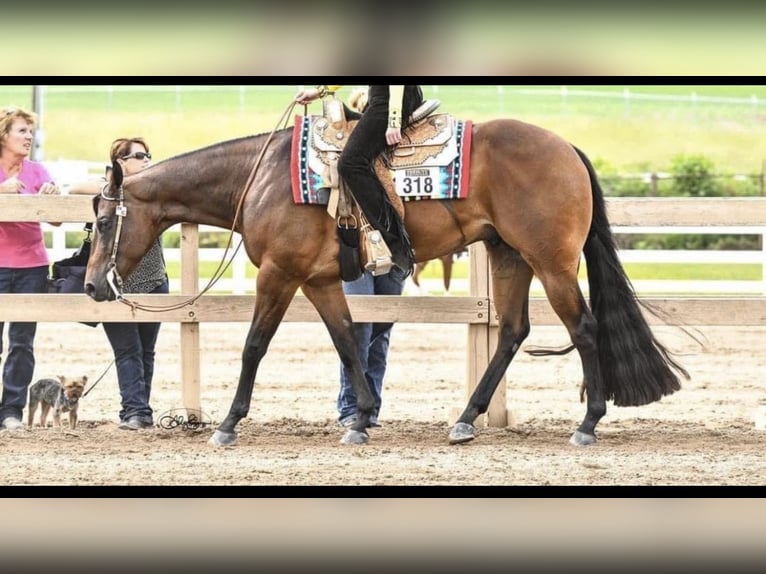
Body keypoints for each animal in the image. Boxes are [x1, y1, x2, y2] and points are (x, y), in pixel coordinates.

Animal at [84, 114, 688, 448]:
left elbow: (255, 344)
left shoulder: (279, 274)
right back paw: (465, 420)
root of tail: (567, 149)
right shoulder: (320, 280)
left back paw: (587, 424)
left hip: (551, 261)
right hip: (508, 255)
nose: (91, 287)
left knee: (583, 326)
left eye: (104, 221)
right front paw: (362, 418)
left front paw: (229, 424)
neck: (262, 178)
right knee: (513, 331)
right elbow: (347, 341)